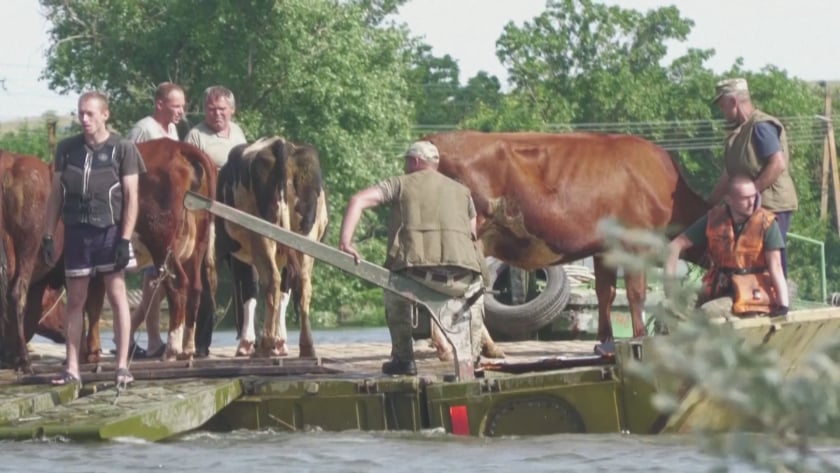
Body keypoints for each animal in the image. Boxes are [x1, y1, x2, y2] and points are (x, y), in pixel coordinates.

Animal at [217, 136, 328, 358]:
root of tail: (281, 144)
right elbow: (285, 293)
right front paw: (280, 342)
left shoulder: (240, 257)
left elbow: (249, 291)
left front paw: (248, 343)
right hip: (305, 238)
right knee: (302, 284)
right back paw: (306, 346)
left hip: (262, 237)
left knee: (272, 282)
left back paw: (266, 344)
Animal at [424, 131, 712, 344]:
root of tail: (435, 138)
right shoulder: (635, 242)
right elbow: (636, 294)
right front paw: (639, 338)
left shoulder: (605, 249)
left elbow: (605, 292)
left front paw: (605, 343)